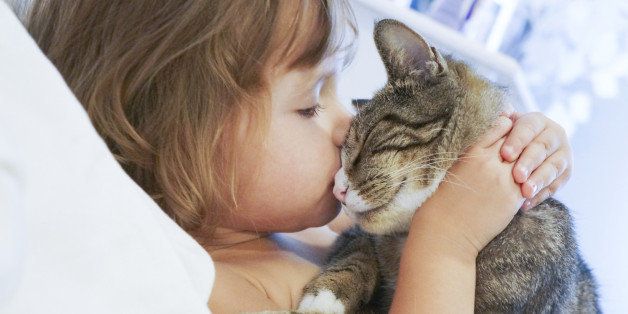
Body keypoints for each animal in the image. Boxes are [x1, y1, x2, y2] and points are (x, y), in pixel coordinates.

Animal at [296, 20, 600, 314]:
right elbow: (357, 250)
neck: (407, 238)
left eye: (369, 138)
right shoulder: (355, 234)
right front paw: (326, 295)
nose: (337, 189)